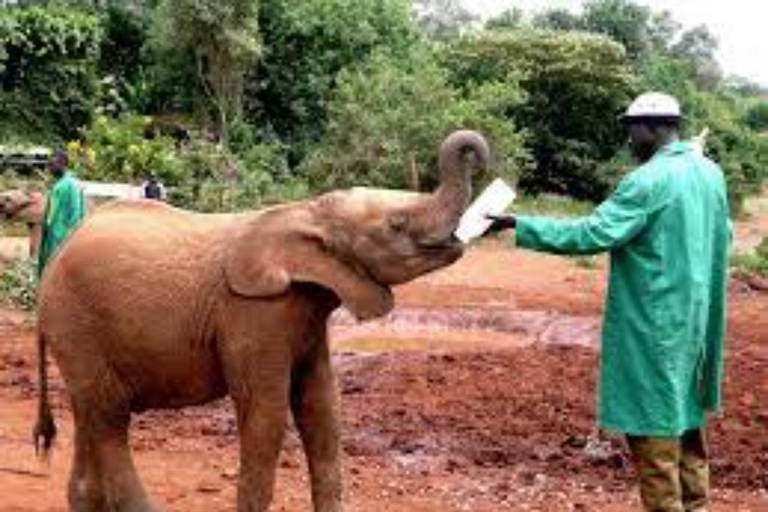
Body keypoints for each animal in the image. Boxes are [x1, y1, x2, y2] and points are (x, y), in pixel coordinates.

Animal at [34, 130, 490, 512]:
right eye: (396, 224)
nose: (477, 153)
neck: (308, 212)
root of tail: (54, 258)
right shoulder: (254, 312)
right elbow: (266, 415)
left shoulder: (306, 315)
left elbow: (322, 410)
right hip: (74, 320)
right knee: (111, 415)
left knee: (90, 412)